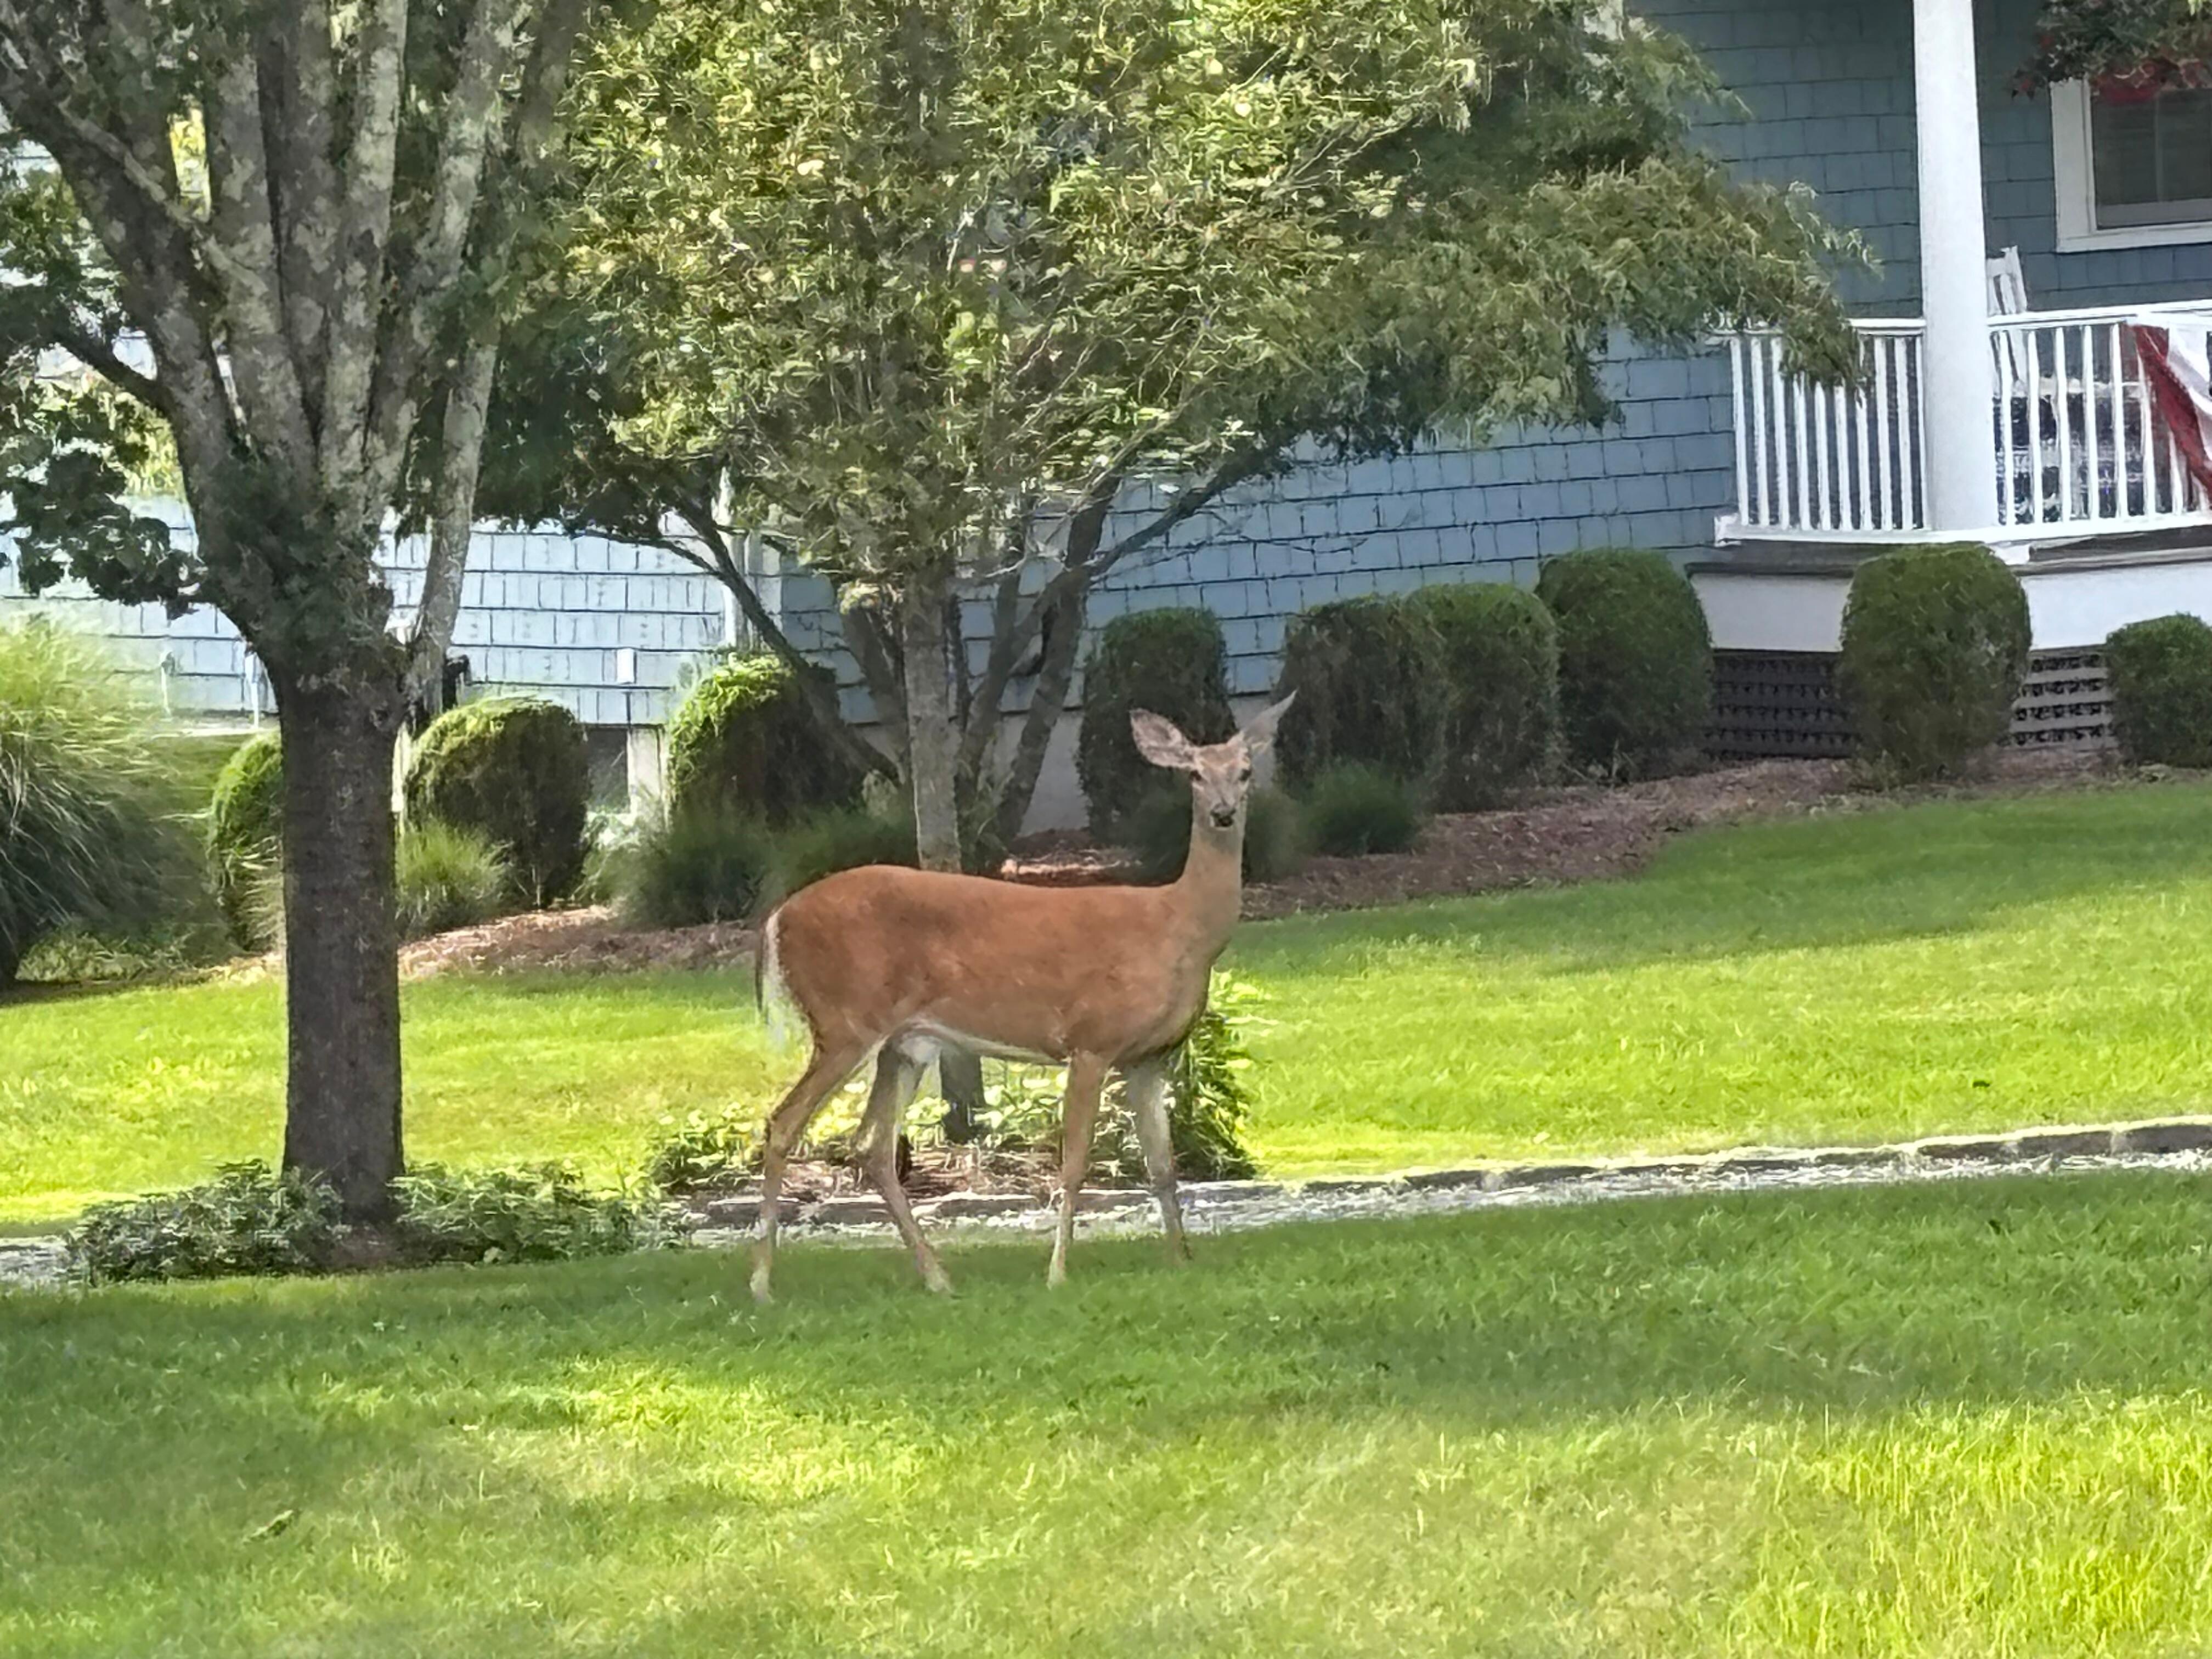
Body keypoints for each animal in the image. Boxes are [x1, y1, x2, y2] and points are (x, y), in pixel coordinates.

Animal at [747, 693, 1294, 1301]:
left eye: (1244, 772)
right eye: (1195, 774)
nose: (1223, 812)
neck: (1179, 928)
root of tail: (776, 919)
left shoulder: (1150, 1058)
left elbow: (1163, 1165)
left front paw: (1181, 1261)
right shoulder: (1092, 1040)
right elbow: (1075, 1163)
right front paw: (1057, 1273)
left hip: (905, 1043)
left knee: (873, 1144)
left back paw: (938, 1277)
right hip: (844, 1021)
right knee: (783, 1124)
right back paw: (762, 1284)